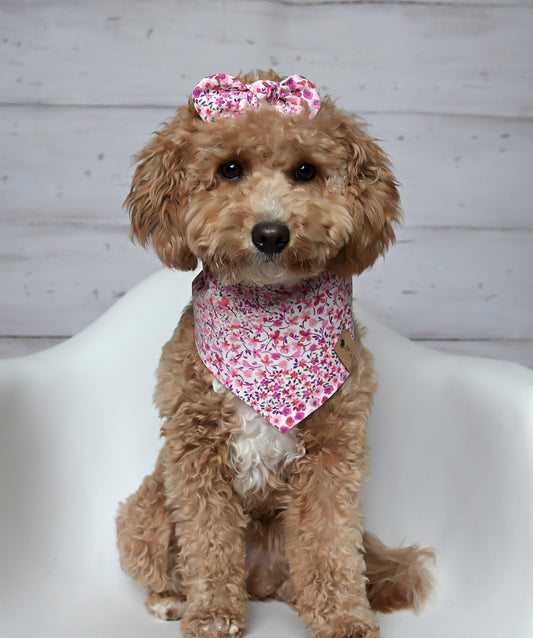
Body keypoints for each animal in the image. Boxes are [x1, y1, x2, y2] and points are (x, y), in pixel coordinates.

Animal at [116, 71, 432, 638]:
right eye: (230, 169)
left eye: (306, 171)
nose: (270, 233)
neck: (269, 325)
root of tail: (260, 583)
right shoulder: (196, 455)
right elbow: (208, 544)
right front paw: (212, 615)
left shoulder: (333, 454)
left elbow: (330, 544)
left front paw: (344, 618)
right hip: (145, 512)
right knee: (165, 559)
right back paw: (172, 599)